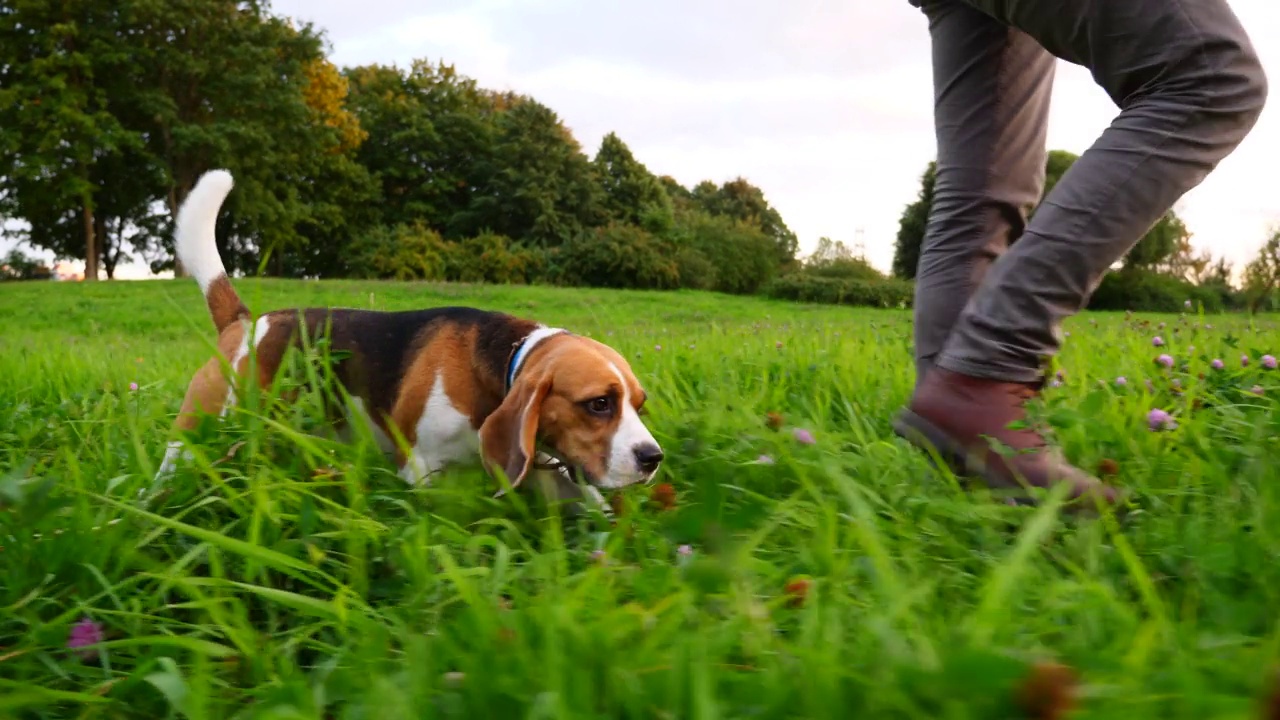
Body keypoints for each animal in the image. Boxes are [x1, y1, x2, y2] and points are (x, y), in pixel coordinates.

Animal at [154, 167, 665, 504]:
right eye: (598, 404)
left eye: (639, 405)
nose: (653, 458)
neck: (501, 364)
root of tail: (244, 321)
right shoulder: (422, 468)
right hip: (199, 429)